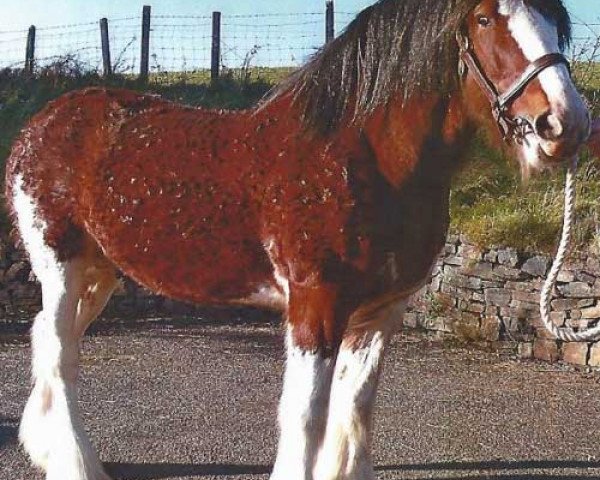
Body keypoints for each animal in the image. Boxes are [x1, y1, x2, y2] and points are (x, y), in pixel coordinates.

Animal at [3, 0, 592, 480]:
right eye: (486, 19)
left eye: (554, 18)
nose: (565, 123)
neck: (363, 158)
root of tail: (39, 126)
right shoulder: (315, 305)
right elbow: (307, 417)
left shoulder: (381, 312)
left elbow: (355, 411)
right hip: (61, 266)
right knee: (60, 354)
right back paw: (76, 464)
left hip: (99, 273)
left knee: (52, 340)